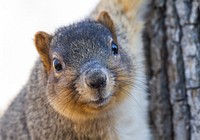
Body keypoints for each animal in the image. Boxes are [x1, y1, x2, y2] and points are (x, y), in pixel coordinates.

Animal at [0, 0, 152, 139]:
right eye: (57, 65)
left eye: (115, 47)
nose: (96, 79)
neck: (110, 112)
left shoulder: (123, 25)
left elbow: (122, 5)